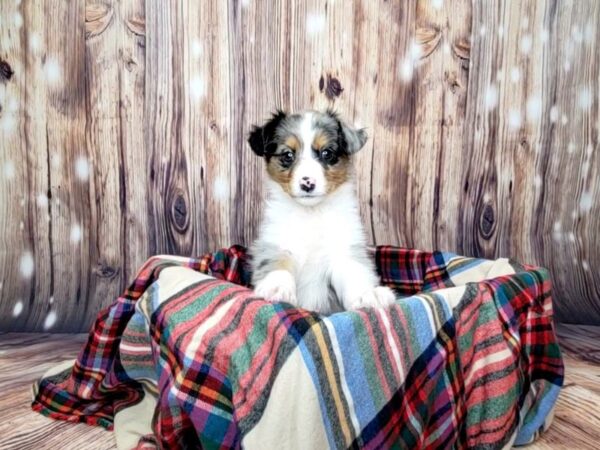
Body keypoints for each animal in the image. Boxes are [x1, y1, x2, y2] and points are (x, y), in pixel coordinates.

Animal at [246, 108, 396, 312]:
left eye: (327, 153)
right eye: (287, 155)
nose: (307, 183)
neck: (312, 214)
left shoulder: (344, 249)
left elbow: (354, 273)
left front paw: (368, 294)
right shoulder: (276, 243)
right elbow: (277, 263)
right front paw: (276, 287)